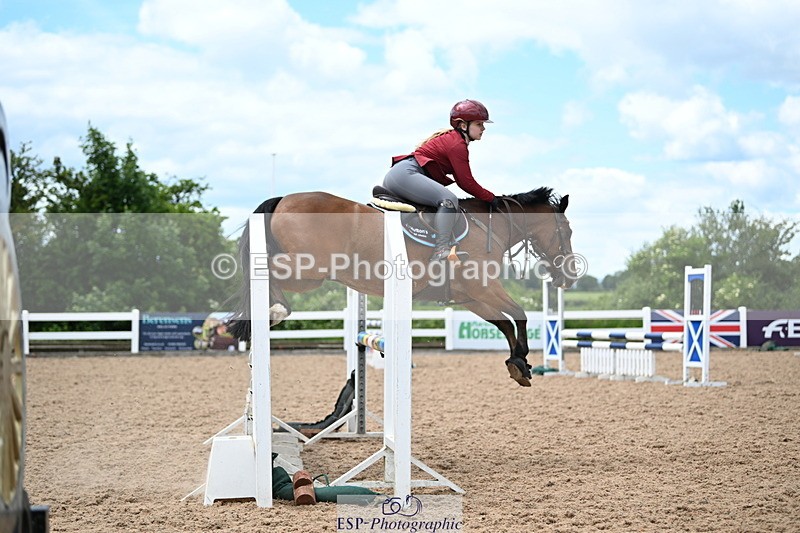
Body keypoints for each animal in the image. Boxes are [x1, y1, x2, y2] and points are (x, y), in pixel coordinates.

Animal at [228, 187, 578, 387]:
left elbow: (504, 323)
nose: (570, 276)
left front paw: (518, 365)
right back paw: (275, 309)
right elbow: (519, 315)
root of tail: (284, 199)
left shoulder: (470, 297)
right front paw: (521, 360)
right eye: (567, 231)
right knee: (267, 269)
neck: (490, 226)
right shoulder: (483, 288)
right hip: (310, 270)